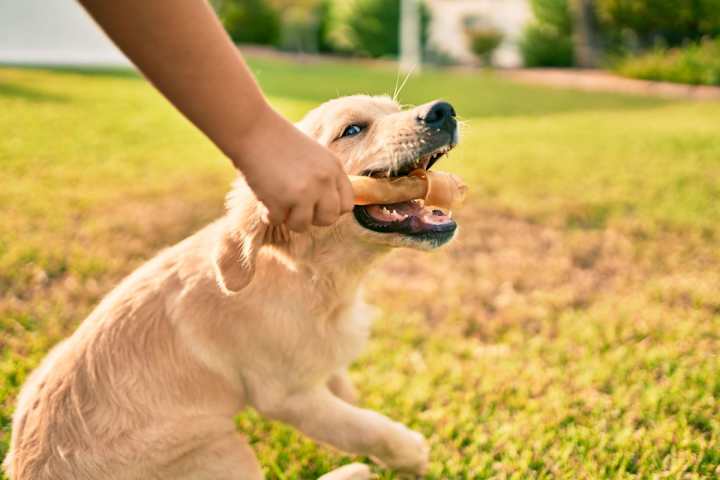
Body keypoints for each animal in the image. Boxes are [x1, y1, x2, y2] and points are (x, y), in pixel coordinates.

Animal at [5, 95, 462, 478]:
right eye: (353, 129)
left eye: (395, 108)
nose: (443, 110)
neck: (309, 277)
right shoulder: (289, 396)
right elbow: (361, 426)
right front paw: (410, 452)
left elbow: (346, 393)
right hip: (219, 449)